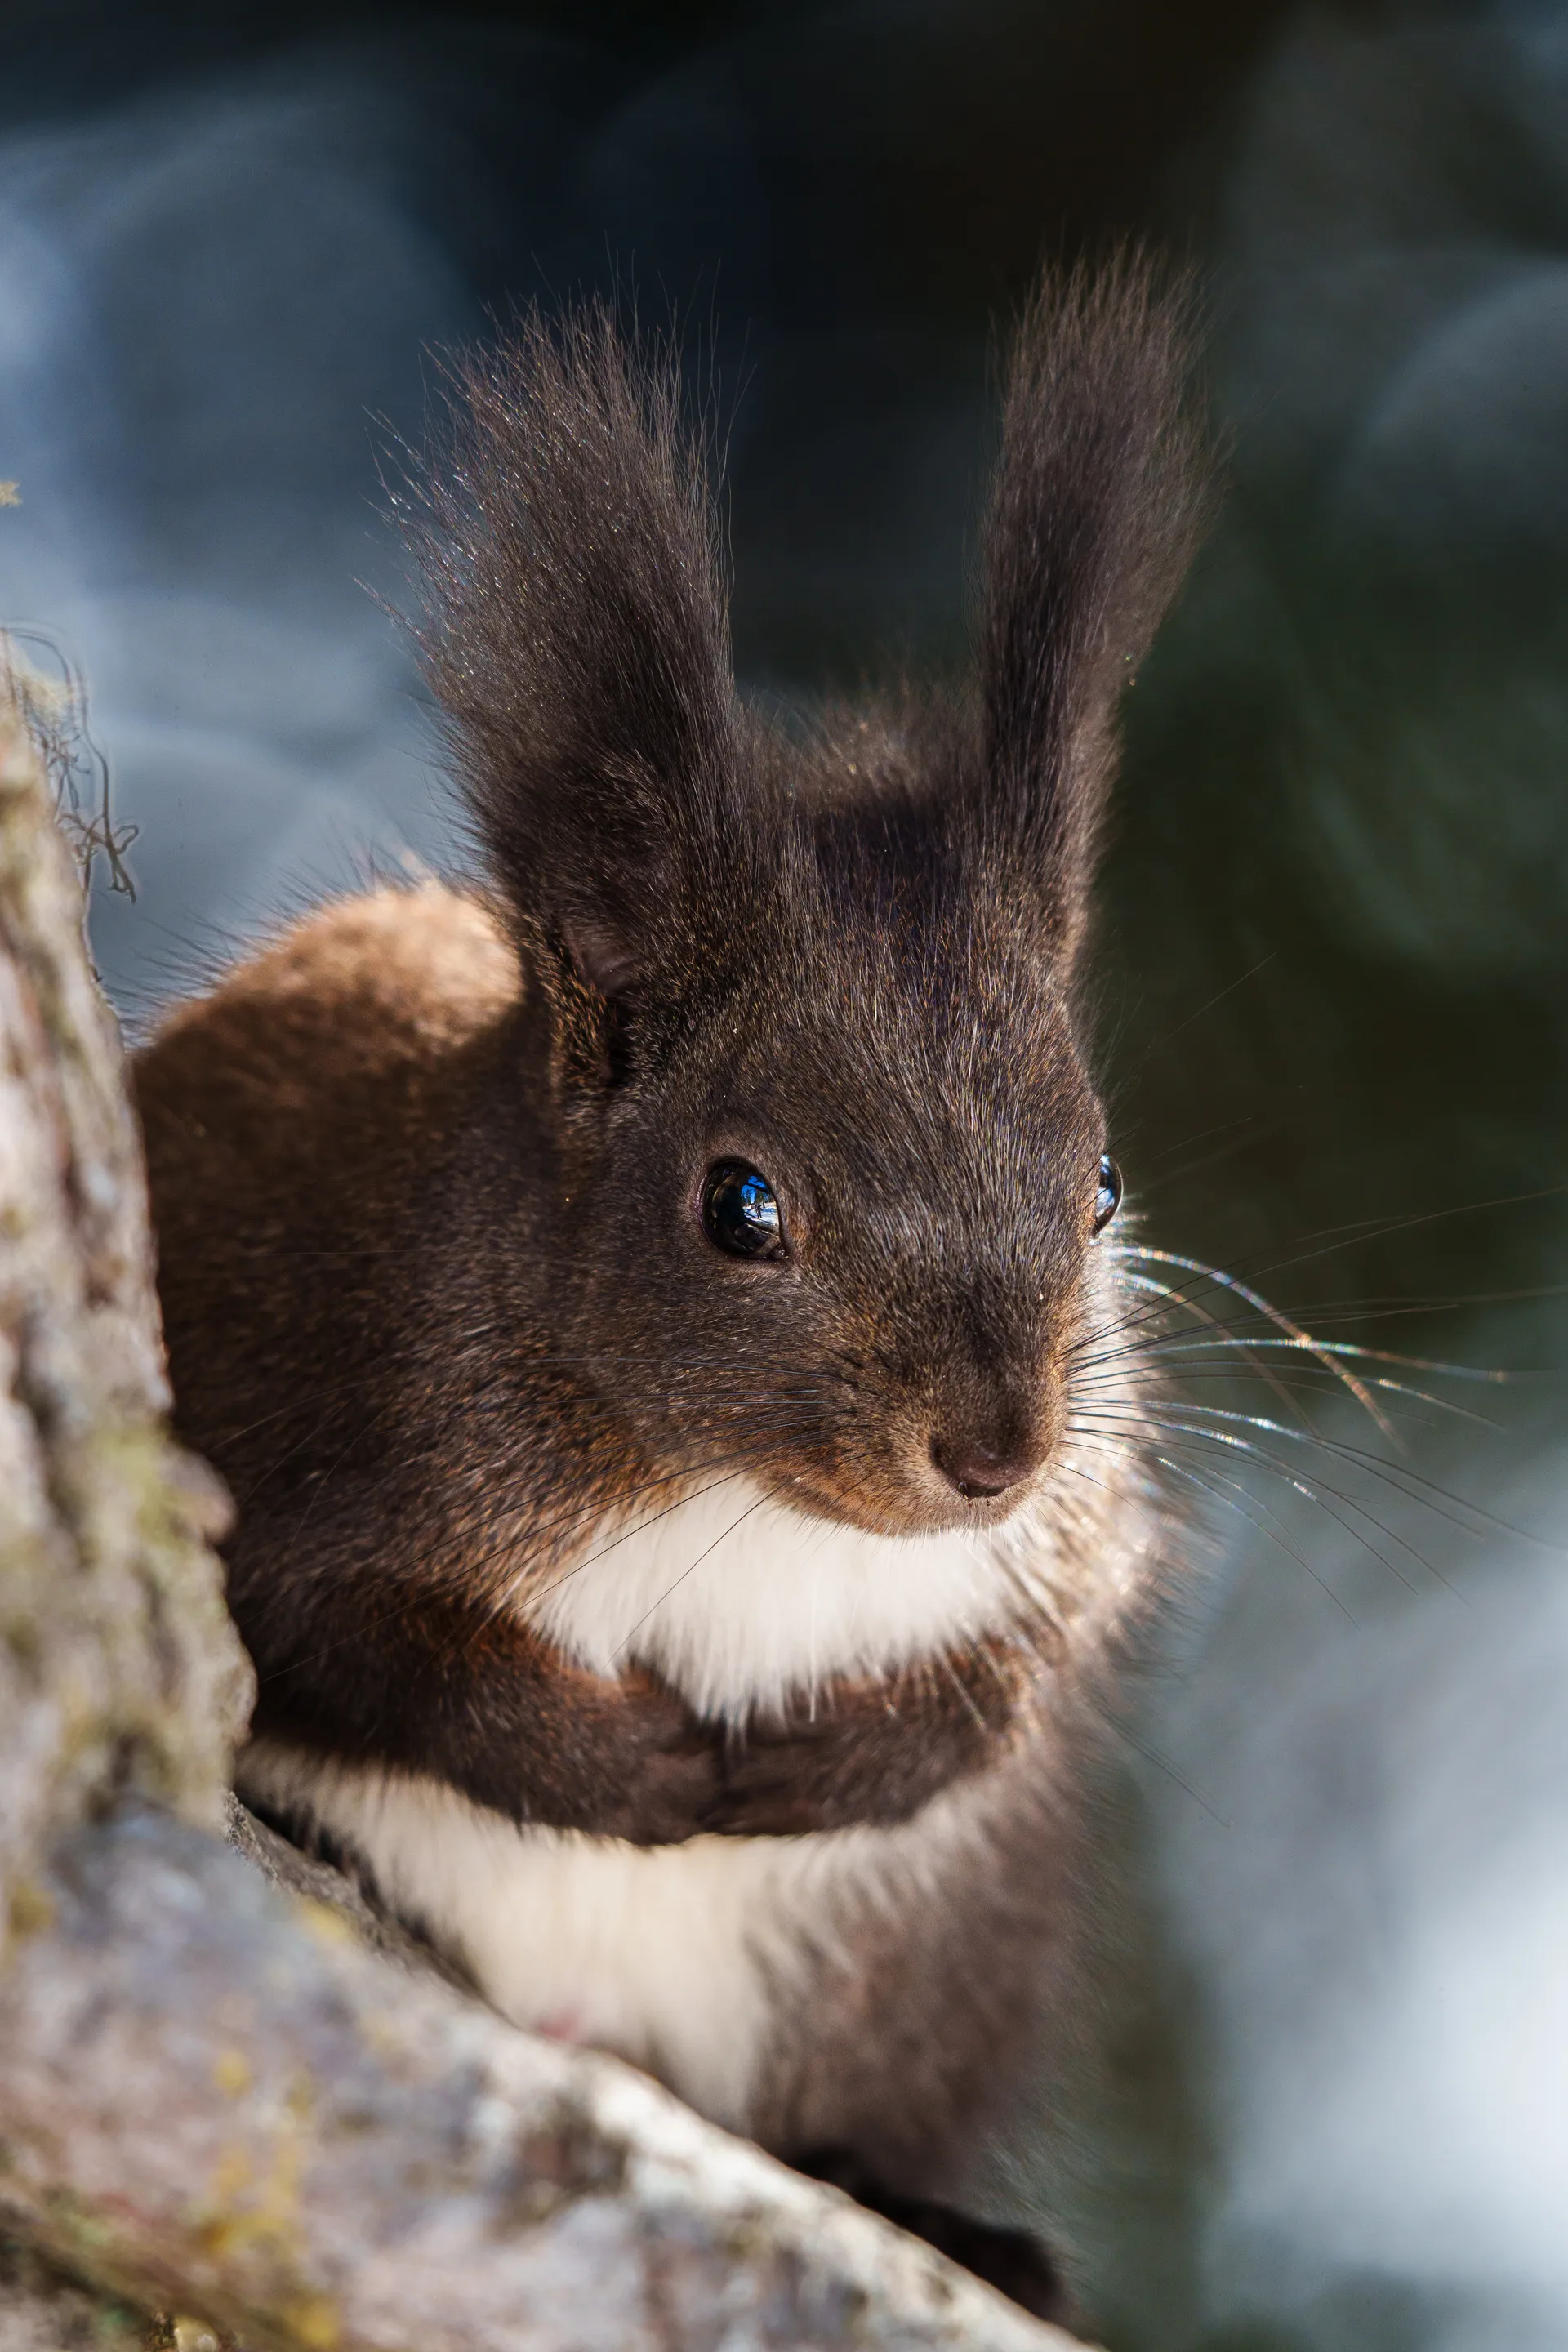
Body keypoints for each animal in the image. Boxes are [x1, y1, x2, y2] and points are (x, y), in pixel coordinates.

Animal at [133, 253, 1208, 2320]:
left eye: (1107, 1182)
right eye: (740, 1202)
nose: (992, 1454)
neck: (731, 1491)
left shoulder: (1084, 1517)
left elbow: (1052, 1639)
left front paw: (847, 1754)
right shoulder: (316, 1415)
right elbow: (328, 1633)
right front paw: (628, 1764)